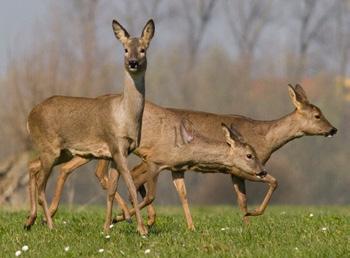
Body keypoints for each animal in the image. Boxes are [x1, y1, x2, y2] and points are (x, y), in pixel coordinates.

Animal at [23, 18, 155, 236]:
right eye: (125, 49)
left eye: (143, 49)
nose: (133, 62)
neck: (125, 116)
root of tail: (29, 116)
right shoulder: (116, 147)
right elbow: (129, 186)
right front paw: (142, 229)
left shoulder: (116, 153)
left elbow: (111, 190)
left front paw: (107, 227)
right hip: (49, 148)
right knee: (42, 185)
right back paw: (50, 225)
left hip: (62, 152)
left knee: (33, 166)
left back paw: (30, 221)